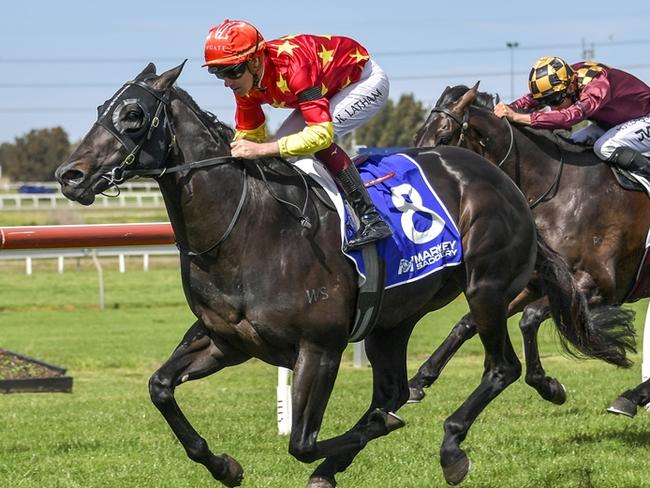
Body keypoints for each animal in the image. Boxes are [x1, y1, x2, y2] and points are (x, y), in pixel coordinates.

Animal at [410, 84, 636, 412]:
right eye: (417, 136)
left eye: (443, 137)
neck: (558, 190)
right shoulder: (533, 282)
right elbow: (467, 323)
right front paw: (419, 380)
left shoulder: (599, 285)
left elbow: (529, 319)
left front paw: (548, 385)